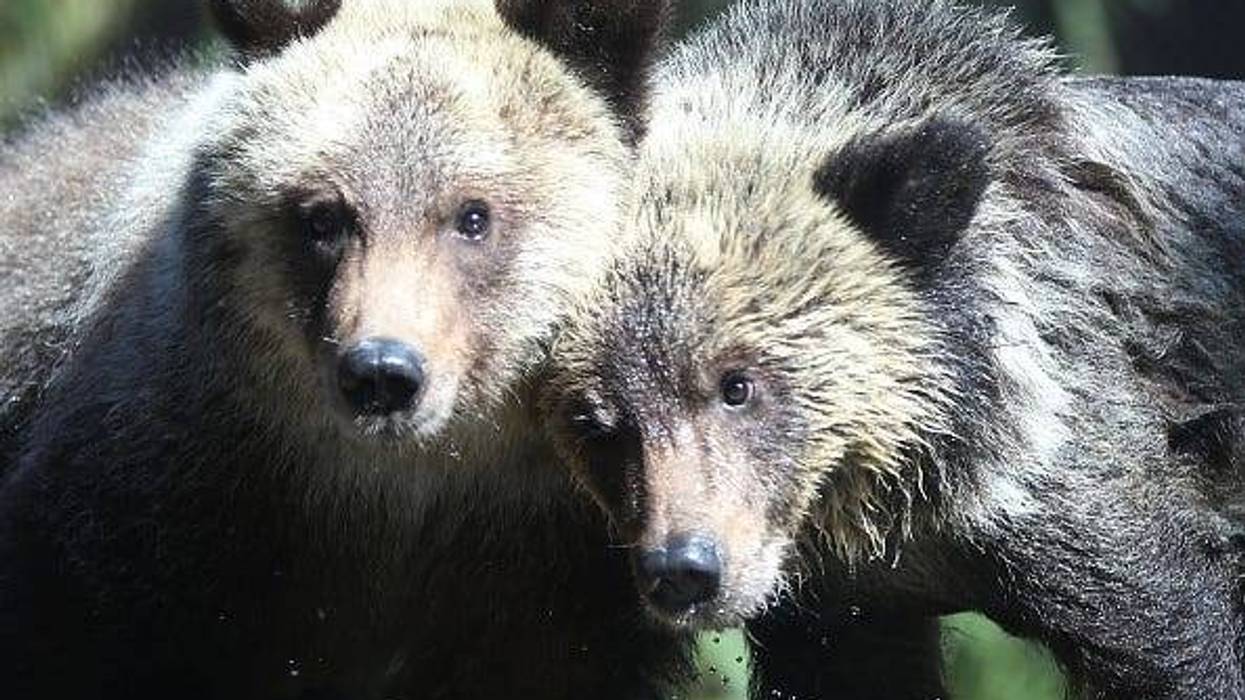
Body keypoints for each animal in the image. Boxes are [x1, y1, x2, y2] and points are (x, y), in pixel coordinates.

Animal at [543, 0, 1245, 698]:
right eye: (596, 424)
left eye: (736, 384)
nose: (685, 569)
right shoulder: (843, 610)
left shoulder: (1079, 487)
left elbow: (1170, 633)